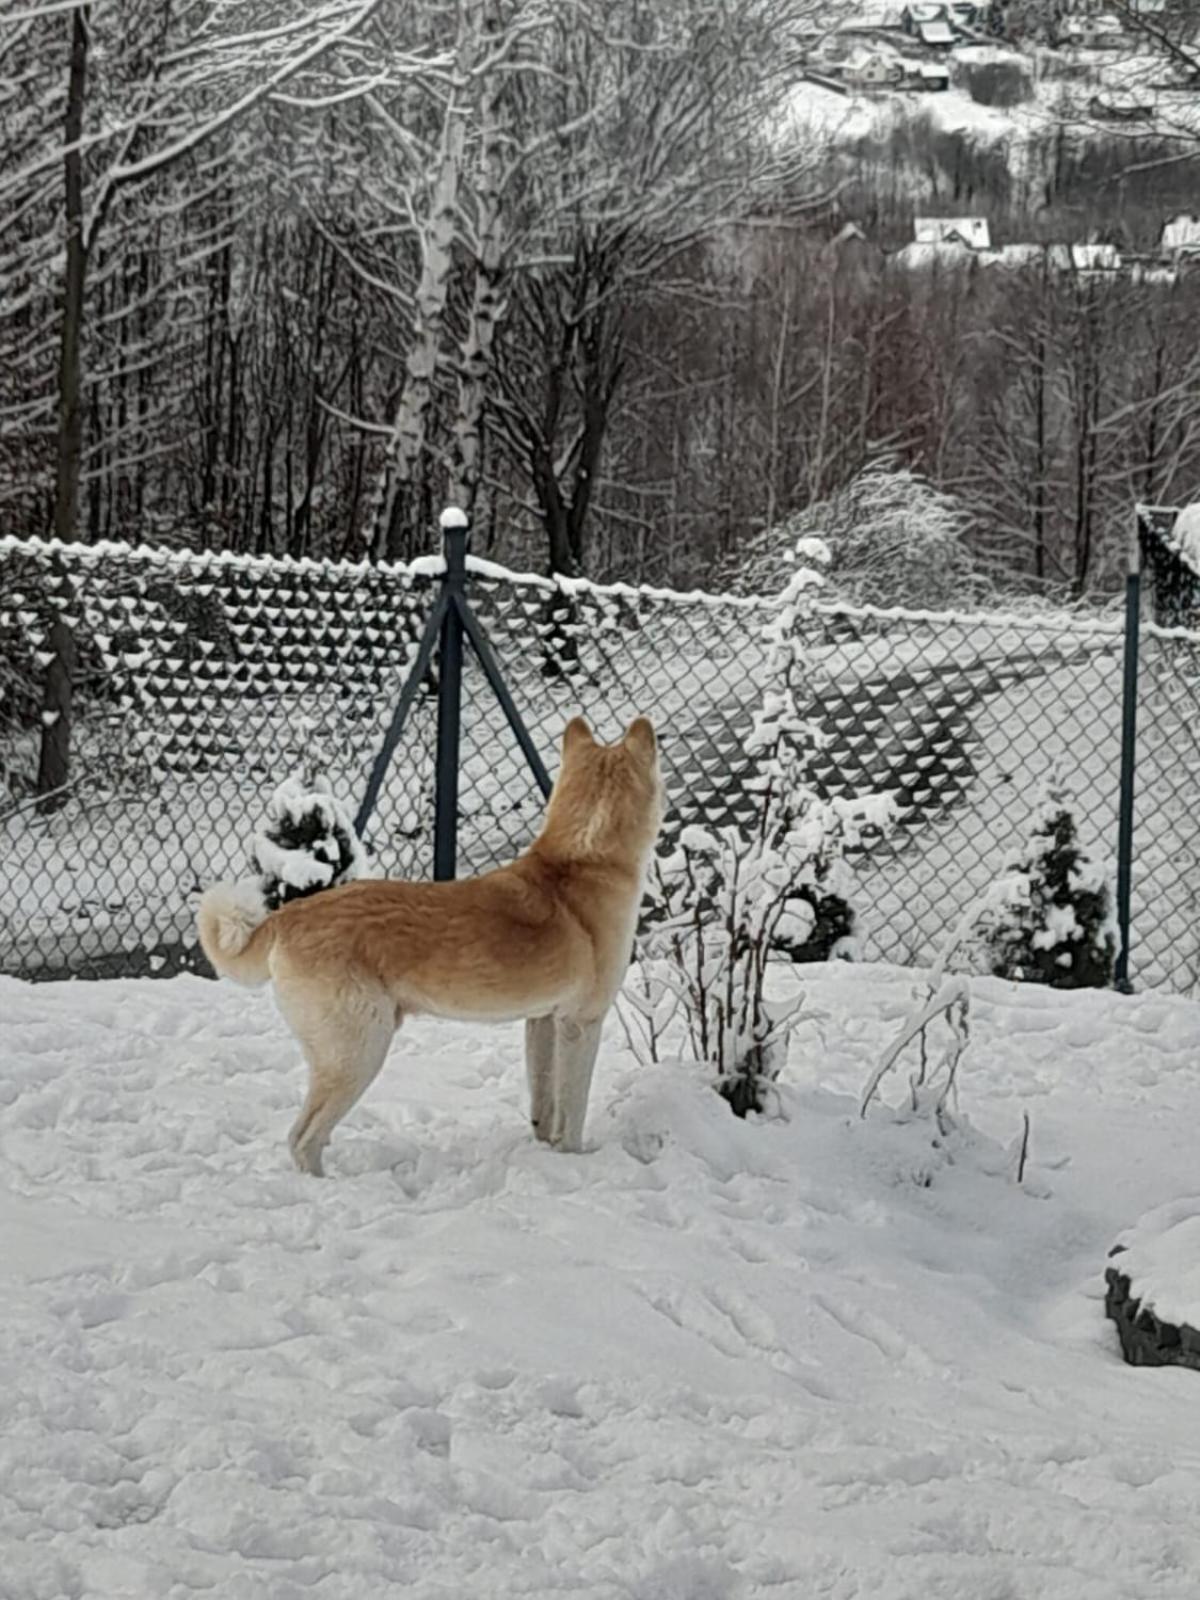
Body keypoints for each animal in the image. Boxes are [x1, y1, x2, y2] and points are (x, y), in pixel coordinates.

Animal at [198, 713, 668, 1177]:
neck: (584, 861)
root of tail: (287, 917)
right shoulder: (580, 1025)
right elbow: (572, 1111)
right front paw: (573, 1160)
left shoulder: (542, 1022)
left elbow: (544, 1105)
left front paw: (544, 1152)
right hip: (360, 1053)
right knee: (303, 1138)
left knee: (302, 1137)